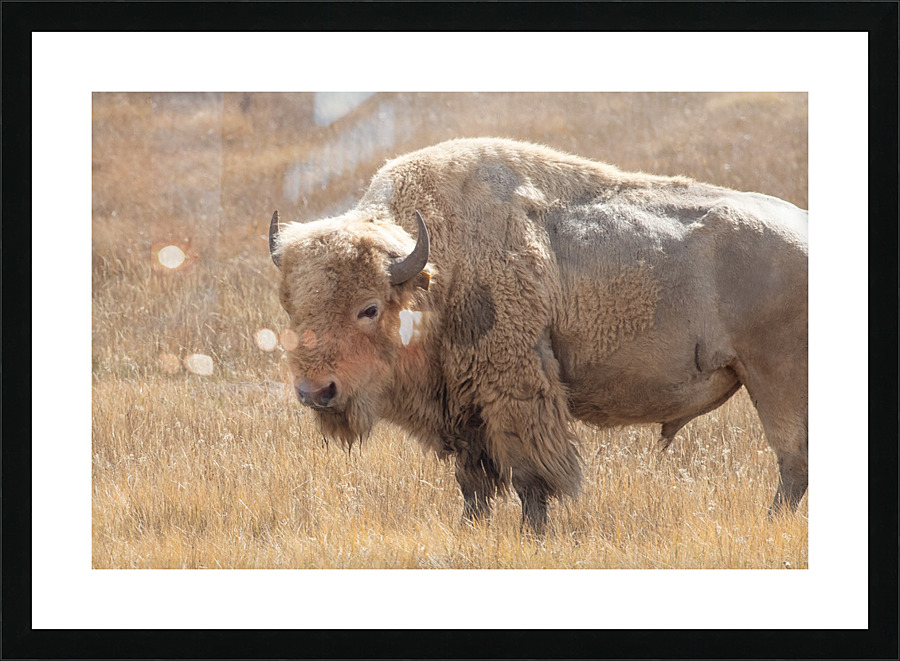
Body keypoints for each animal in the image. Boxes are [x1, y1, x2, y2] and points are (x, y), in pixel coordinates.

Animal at [269, 138, 808, 532]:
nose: (316, 391)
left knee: (792, 464)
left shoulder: (515, 391)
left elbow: (531, 478)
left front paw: (534, 532)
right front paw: (470, 528)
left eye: (369, 308)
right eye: (292, 306)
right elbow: (473, 482)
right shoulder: (464, 411)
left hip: (775, 381)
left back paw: (769, 525)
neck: (439, 270)